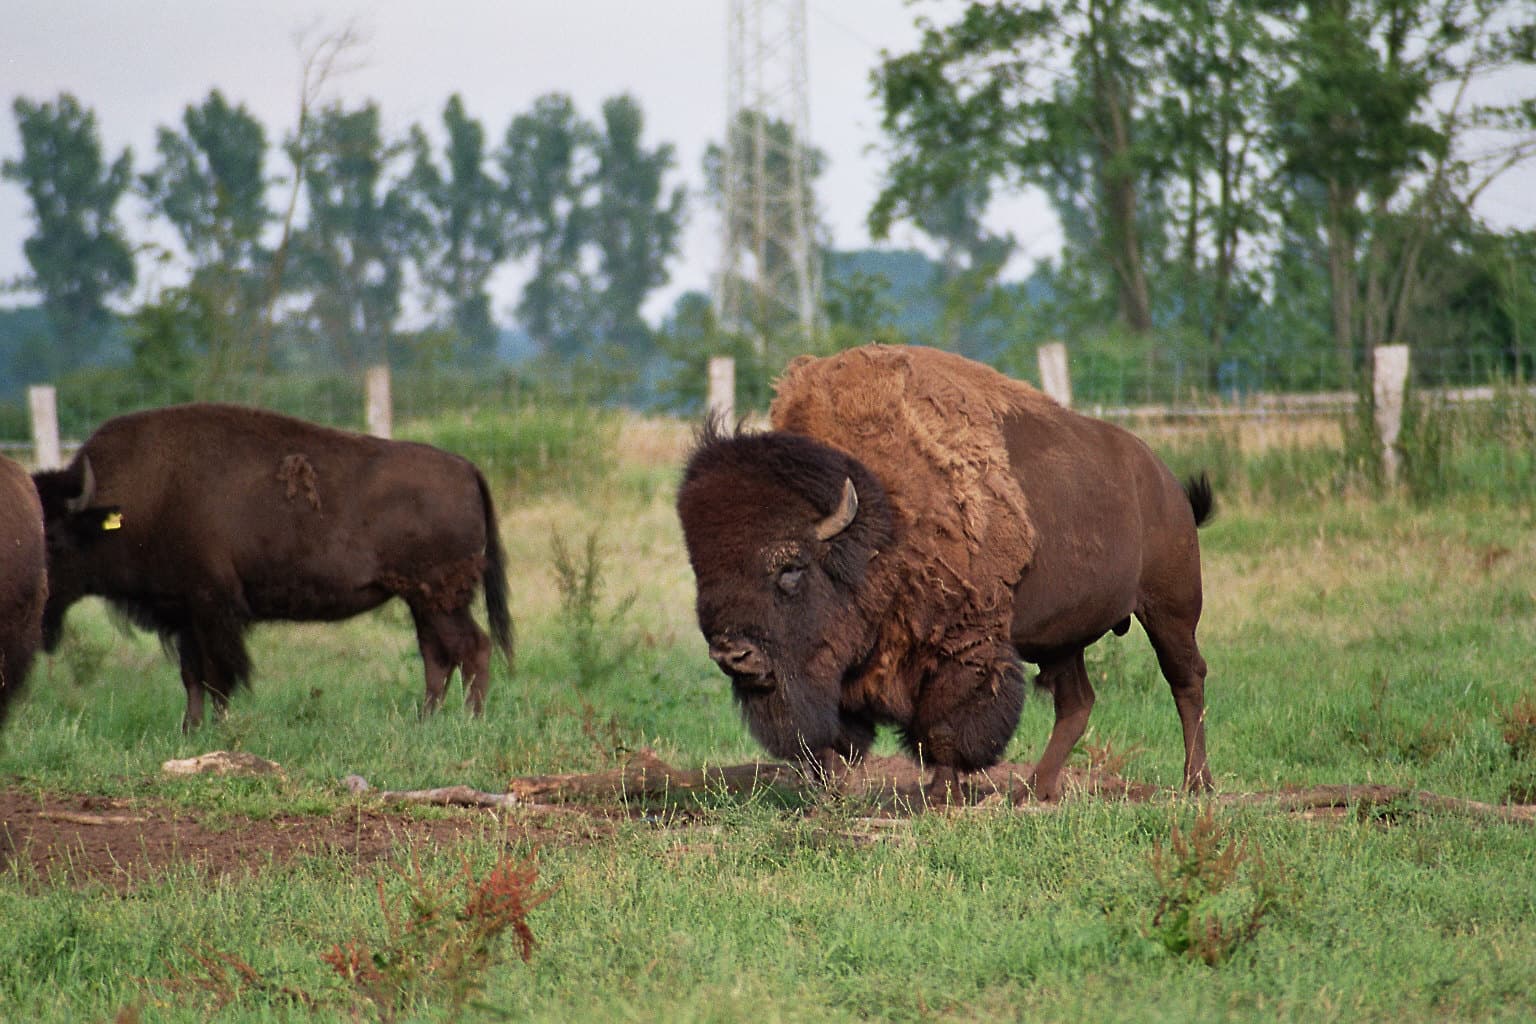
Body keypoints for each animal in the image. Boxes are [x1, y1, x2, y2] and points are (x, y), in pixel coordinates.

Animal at [32, 403, 513, 729]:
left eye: (52, 538)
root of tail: (467, 468)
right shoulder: (185, 614)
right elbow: (192, 676)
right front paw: (190, 730)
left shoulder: (211, 609)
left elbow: (217, 675)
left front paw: (218, 730)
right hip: (422, 600)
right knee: (439, 656)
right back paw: (424, 721)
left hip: (440, 598)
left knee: (472, 648)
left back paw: (470, 721)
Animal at [677, 345, 1213, 801]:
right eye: (703, 569)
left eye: (791, 568)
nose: (733, 654)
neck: (882, 522)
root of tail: (1163, 480)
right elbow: (838, 733)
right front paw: (832, 792)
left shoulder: (964, 646)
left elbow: (945, 723)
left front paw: (939, 794)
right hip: (1063, 640)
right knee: (1077, 702)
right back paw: (1034, 791)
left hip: (1171, 611)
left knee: (1186, 680)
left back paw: (1195, 784)